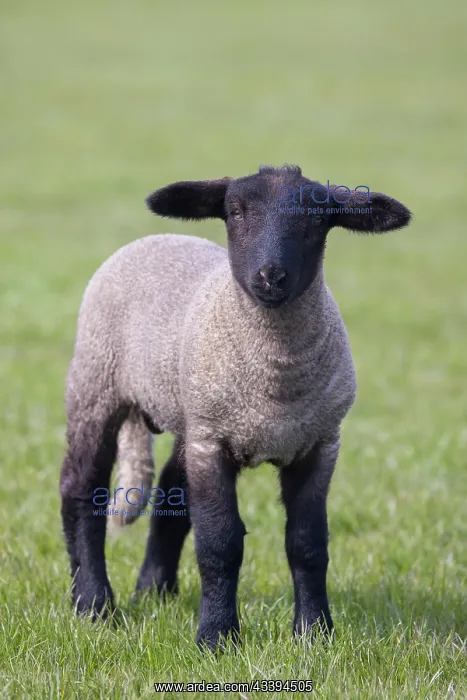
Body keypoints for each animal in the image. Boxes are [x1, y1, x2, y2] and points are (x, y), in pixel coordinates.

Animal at [59, 164, 411, 649]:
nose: (272, 276)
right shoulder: (213, 443)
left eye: (317, 218)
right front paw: (216, 637)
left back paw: (154, 591)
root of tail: (159, 236)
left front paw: (314, 633)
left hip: (187, 413)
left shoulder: (319, 443)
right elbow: (220, 543)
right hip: (97, 384)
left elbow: (308, 544)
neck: (275, 382)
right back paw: (93, 604)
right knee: (80, 489)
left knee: (171, 495)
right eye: (236, 211)